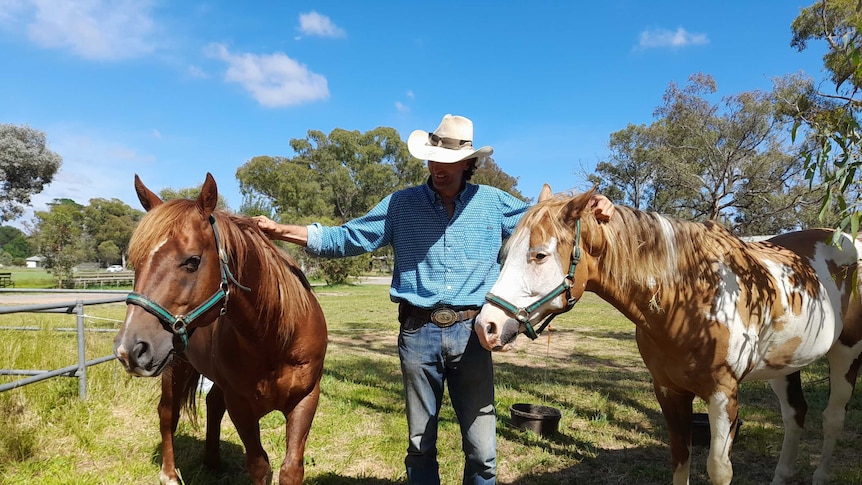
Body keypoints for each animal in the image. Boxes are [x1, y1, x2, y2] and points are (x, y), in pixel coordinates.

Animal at [113, 172, 330, 482]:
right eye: (136, 261)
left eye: (192, 261)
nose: (129, 349)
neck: (274, 338)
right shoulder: (240, 405)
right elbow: (259, 465)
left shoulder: (306, 398)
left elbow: (291, 469)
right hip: (175, 367)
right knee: (168, 414)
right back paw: (170, 474)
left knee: (212, 403)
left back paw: (212, 461)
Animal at [476, 184, 860, 484]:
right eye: (504, 254)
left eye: (539, 255)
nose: (487, 327)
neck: (689, 298)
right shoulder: (669, 391)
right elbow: (680, 459)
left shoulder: (723, 395)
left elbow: (719, 469)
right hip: (784, 367)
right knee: (795, 415)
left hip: (846, 355)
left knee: (832, 419)